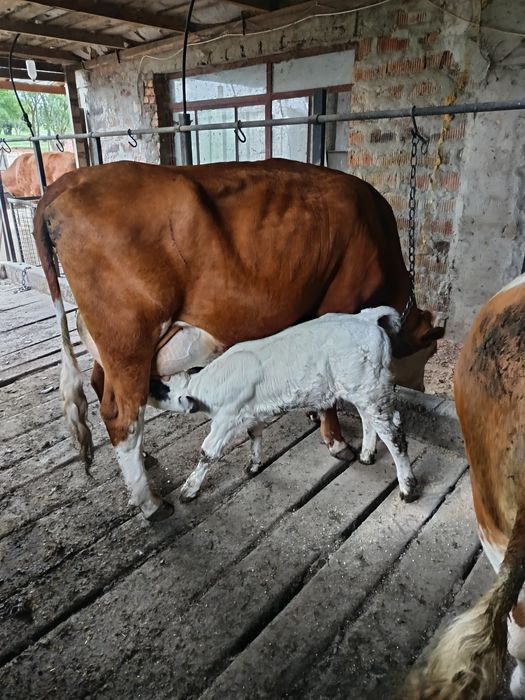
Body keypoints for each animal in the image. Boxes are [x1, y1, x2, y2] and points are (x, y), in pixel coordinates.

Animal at [154, 308, 418, 504]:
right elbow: (255, 434)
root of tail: (366, 317)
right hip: (361, 387)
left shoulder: (226, 418)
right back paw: (366, 455)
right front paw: (253, 465)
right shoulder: (250, 412)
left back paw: (408, 489)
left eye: (163, 387)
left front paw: (189, 490)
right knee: (368, 420)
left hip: (371, 389)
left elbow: (207, 452)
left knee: (394, 434)